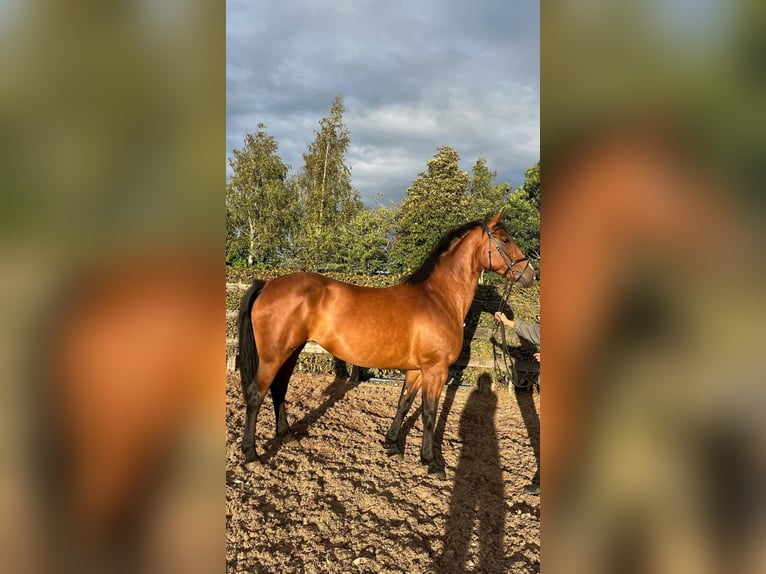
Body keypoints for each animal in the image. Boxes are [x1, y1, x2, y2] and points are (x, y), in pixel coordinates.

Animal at [236, 210, 535, 477]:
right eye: (505, 239)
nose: (529, 273)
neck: (438, 298)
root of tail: (267, 284)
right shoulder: (435, 370)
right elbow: (429, 414)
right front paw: (431, 462)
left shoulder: (416, 370)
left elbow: (404, 404)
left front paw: (392, 445)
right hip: (274, 356)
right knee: (256, 394)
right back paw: (251, 455)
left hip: (291, 352)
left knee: (279, 389)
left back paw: (286, 436)